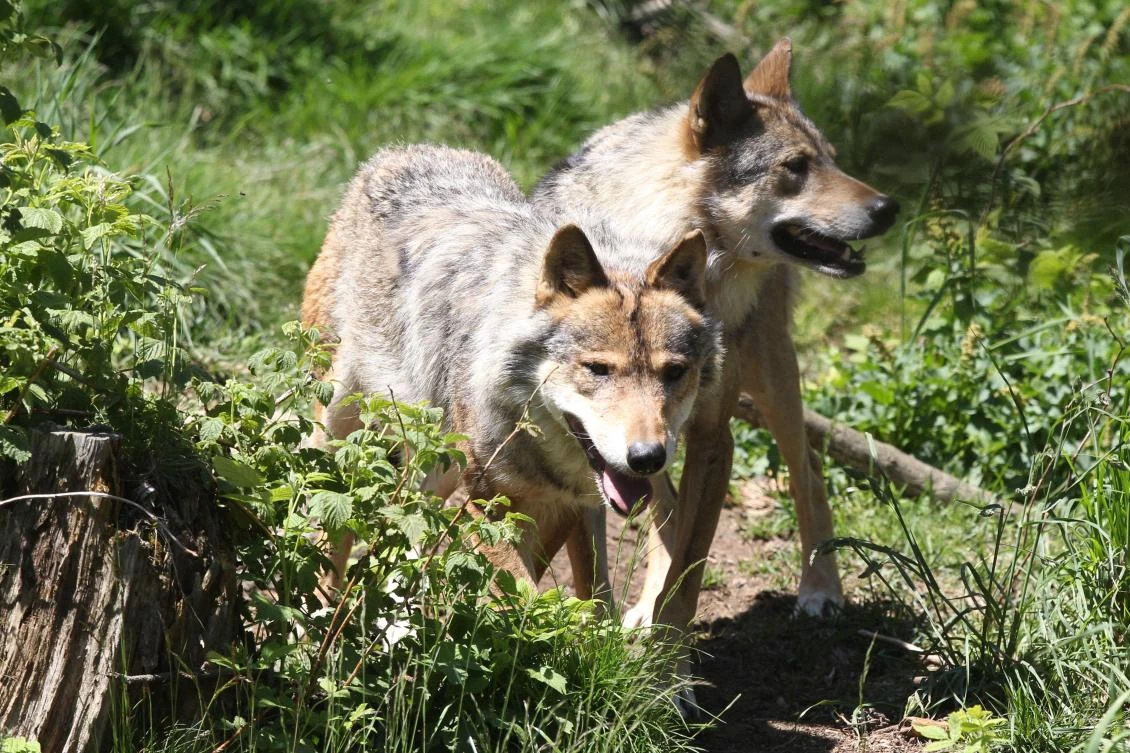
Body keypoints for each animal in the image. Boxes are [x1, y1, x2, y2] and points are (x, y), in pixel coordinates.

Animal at [301, 144, 721, 594]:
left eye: (674, 373)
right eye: (597, 369)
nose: (647, 458)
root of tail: (400, 150)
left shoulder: (569, 506)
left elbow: (565, 593)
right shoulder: (486, 504)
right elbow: (526, 595)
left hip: (440, 467)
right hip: (338, 423)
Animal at [534, 38, 899, 674]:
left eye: (832, 160)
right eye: (795, 167)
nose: (888, 207)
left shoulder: (712, 436)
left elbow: (691, 572)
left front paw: (671, 671)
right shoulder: (592, 440)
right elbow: (600, 571)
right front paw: (605, 642)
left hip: (773, 382)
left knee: (808, 472)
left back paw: (820, 591)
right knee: (668, 507)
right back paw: (641, 609)